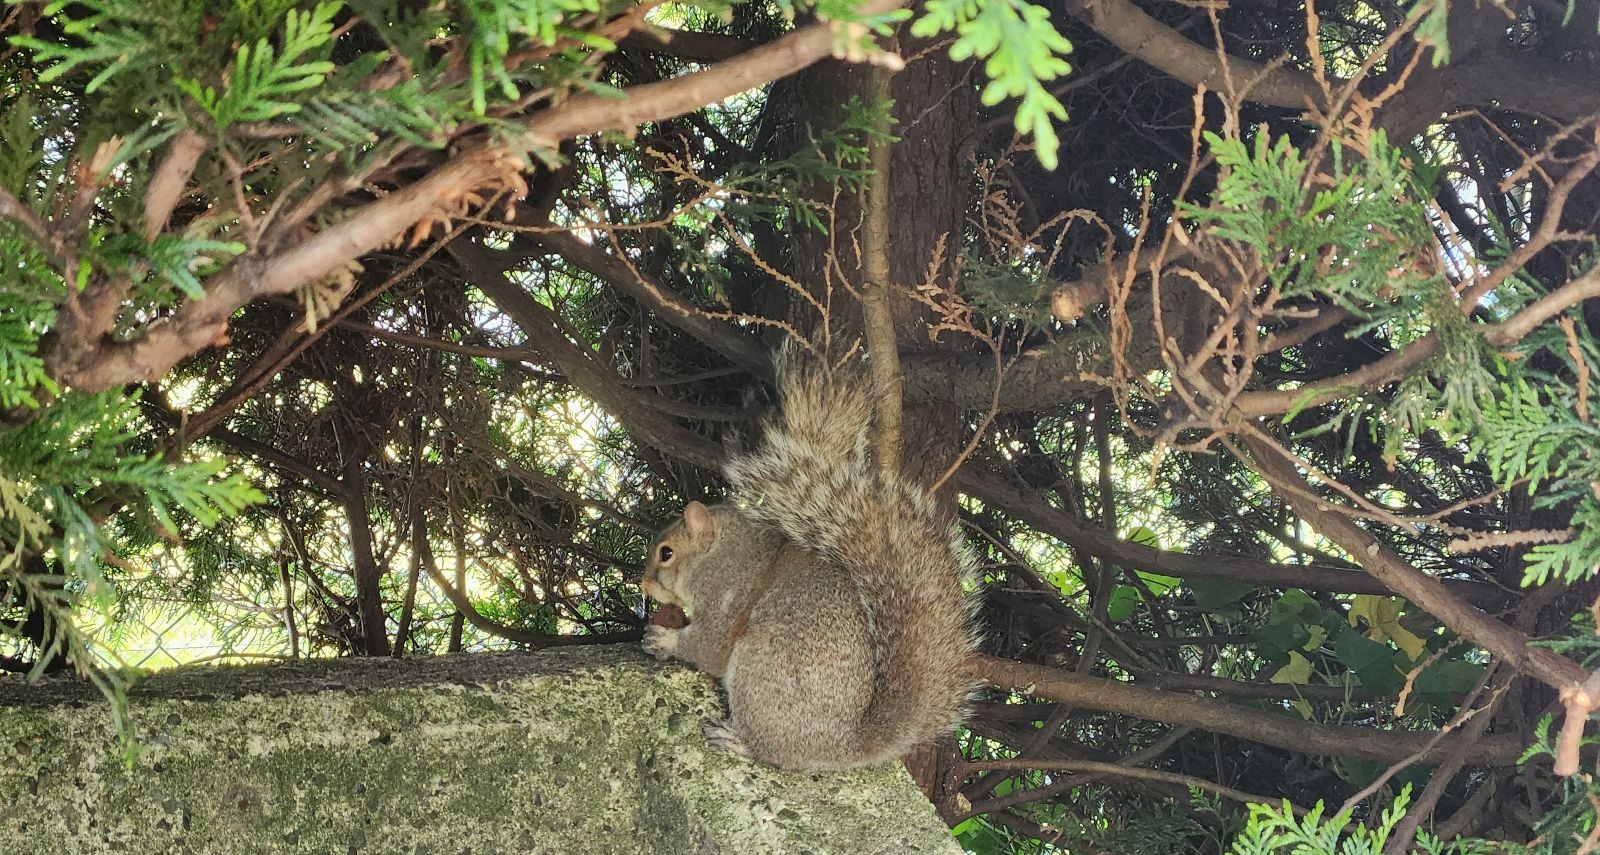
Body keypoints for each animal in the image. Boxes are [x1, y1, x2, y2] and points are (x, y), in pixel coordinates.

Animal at [640, 351, 980, 771]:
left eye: (666, 554)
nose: (643, 585)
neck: (722, 552)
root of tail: (842, 747)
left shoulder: (725, 597)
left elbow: (707, 648)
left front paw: (664, 640)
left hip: (760, 665)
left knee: (772, 752)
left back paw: (737, 740)